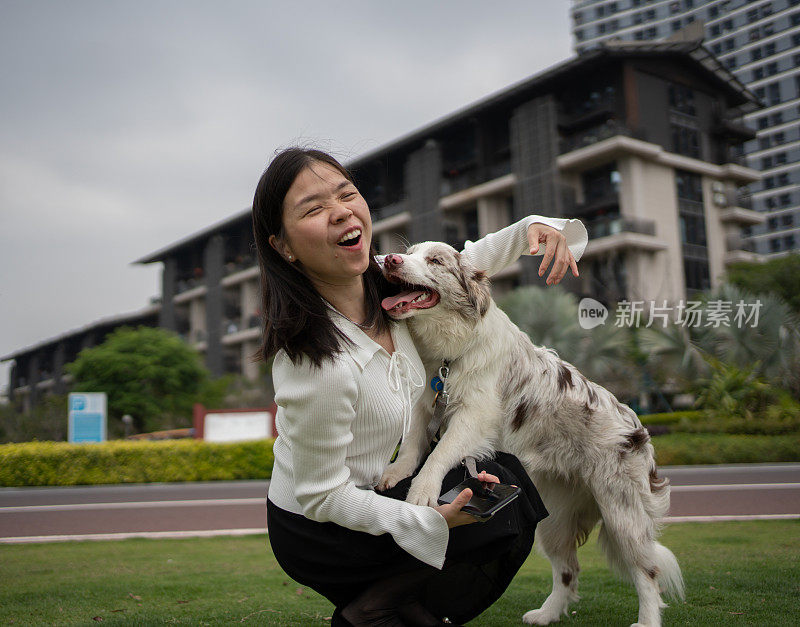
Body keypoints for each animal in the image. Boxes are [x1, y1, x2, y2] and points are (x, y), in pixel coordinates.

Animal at [376, 244, 680, 627]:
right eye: (409, 252)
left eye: (435, 260)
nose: (389, 260)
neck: (449, 351)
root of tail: (635, 425)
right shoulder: (427, 400)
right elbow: (413, 443)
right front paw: (396, 473)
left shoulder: (474, 415)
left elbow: (440, 451)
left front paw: (421, 491)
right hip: (555, 518)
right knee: (568, 568)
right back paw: (547, 614)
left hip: (622, 513)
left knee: (646, 570)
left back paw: (648, 619)